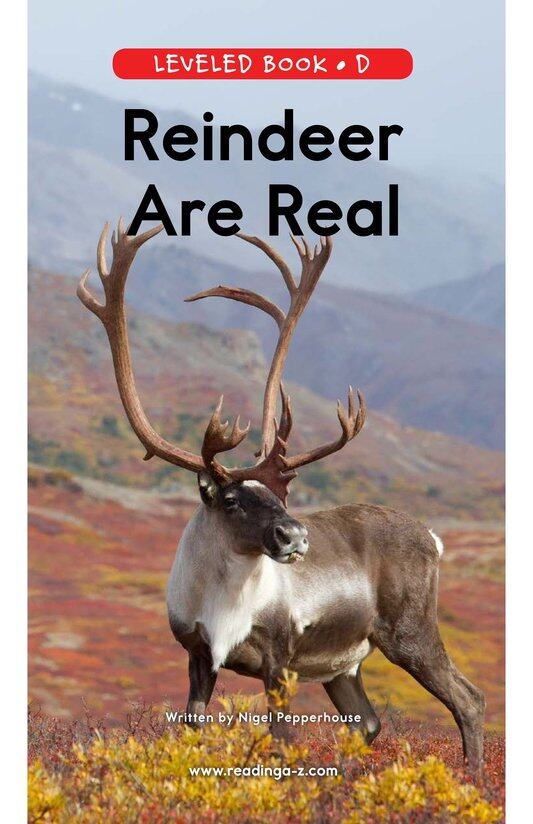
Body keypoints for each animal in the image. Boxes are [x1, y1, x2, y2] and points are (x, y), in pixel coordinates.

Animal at [77, 220, 486, 772]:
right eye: (231, 500)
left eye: (281, 496)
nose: (295, 536)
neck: (222, 600)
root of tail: (434, 538)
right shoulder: (198, 657)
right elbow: (191, 732)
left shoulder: (280, 661)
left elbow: (281, 741)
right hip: (345, 665)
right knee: (367, 722)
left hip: (409, 633)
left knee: (468, 698)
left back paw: (474, 778)